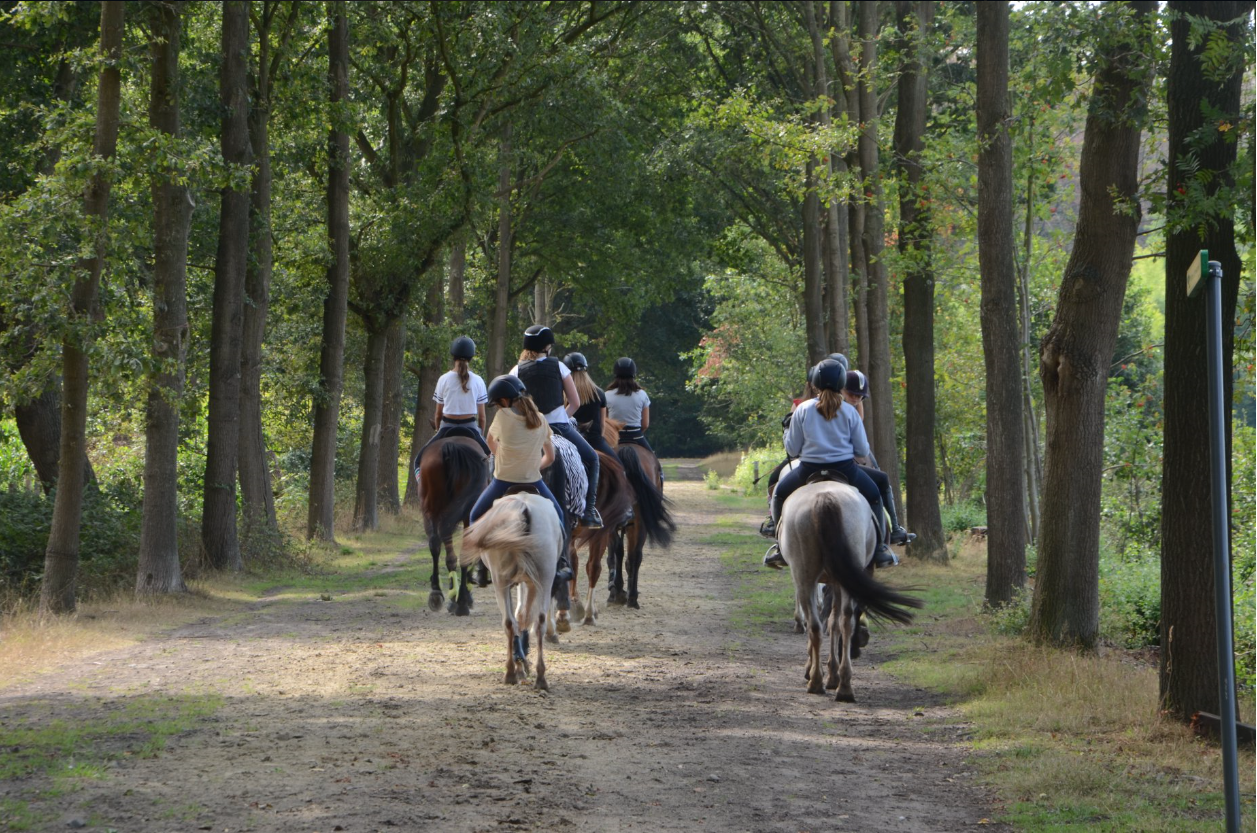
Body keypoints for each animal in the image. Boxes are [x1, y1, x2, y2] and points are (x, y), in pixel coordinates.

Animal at [457, 495, 565, 688]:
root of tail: (522, 506)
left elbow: (521, 616)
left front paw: (521, 664)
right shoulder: (530, 582)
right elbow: (523, 616)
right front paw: (523, 664)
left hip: (503, 580)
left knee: (511, 622)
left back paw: (513, 673)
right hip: (543, 577)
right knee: (535, 621)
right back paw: (535, 676)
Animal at [600, 419, 673, 610]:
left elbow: (613, 555)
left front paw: (614, 589)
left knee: (622, 551)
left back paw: (619, 592)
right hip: (641, 521)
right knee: (635, 555)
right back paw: (631, 597)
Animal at [774, 474, 925, 703]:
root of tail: (825, 498)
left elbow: (828, 620)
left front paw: (820, 670)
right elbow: (837, 619)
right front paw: (832, 671)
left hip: (805, 574)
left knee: (818, 624)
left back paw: (818, 681)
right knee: (844, 620)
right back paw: (843, 684)